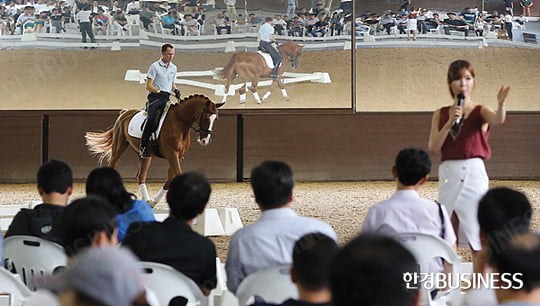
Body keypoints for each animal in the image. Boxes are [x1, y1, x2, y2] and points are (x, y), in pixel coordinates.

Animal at [85, 95, 224, 206]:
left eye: (216, 119)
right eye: (206, 118)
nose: (204, 140)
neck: (179, 123)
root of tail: (124, 113)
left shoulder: (178, 156)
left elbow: (170, 179)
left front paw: (155, 201)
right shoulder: (172, 155)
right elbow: (178, 174)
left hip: (145, 155)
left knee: (141, 175)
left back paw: (147, 201)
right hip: (119, 147)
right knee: (112, 165)